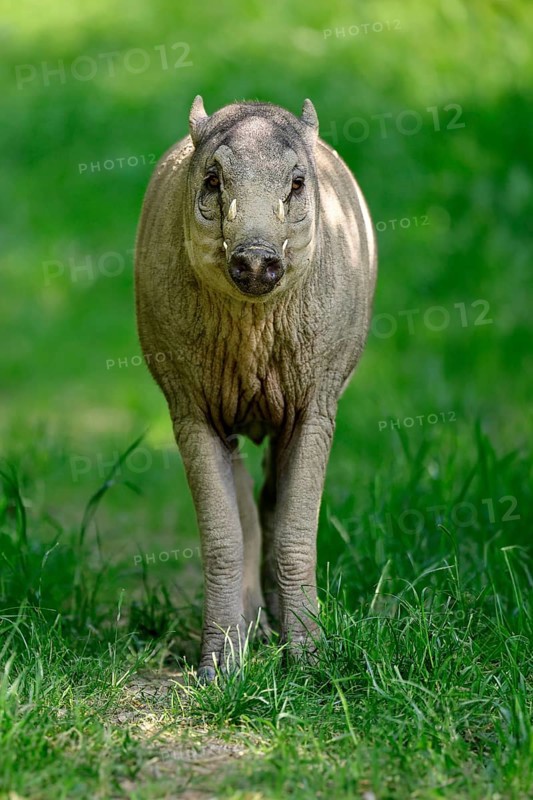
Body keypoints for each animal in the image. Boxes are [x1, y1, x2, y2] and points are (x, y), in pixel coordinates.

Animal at [135, 96, 377, 680]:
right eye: (212, 179)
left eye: (296, 182)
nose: (255, 259)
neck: (252, 330)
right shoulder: (188, 406)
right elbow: (224, 535)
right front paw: (220, 668)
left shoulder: (318, 401)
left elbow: (293, 531)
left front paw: (310, 661)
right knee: (247, 505)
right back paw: (251, 630)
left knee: (268, 500)